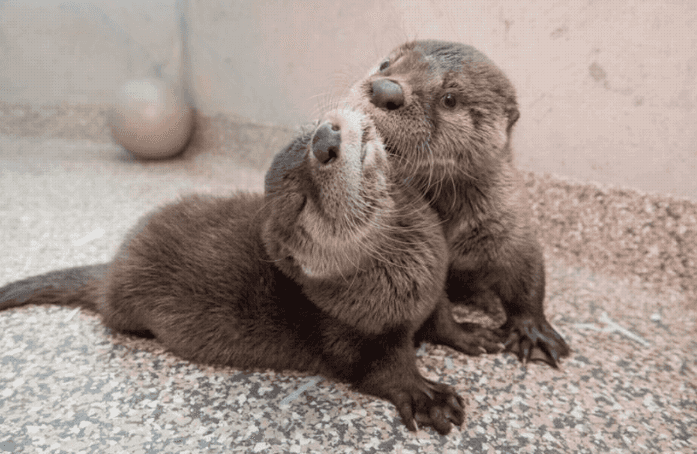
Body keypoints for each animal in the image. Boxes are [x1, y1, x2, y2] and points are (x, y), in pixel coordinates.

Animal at [0, 107, 468, 435]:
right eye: (303, 201)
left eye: (307, 137)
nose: (324, 139)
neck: (409, 276)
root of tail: (114, 266)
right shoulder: (349, 330)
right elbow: (379, 369)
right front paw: (426, 396)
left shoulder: (435, 286)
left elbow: (443, 315)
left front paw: (471, 332)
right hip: (125, 307)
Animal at [344, 40, 570, 367]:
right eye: (386, 64)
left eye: (450, 99)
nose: (386, 89)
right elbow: (431, 304)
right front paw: (465, 334)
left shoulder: (512, 220)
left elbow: (528, 277)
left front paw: (533, 332)